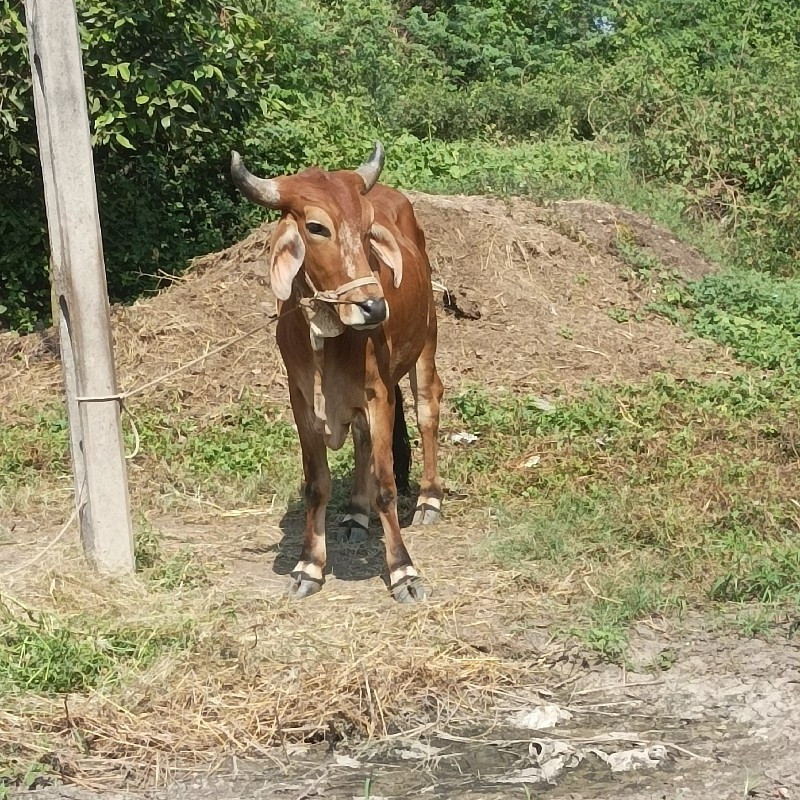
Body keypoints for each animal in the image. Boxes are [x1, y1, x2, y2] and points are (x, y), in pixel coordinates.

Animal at [231, 144, 444, 604]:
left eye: (367, 229)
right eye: (316, 227)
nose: (374, 307)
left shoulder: (378, 394)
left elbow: (386, 485)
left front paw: (403, 571)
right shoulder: (302, 400)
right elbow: (317, 484)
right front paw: (309, 566)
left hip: (426, 344)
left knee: (427, 409)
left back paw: (429, 500)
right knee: (363, 442)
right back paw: (355, 514)